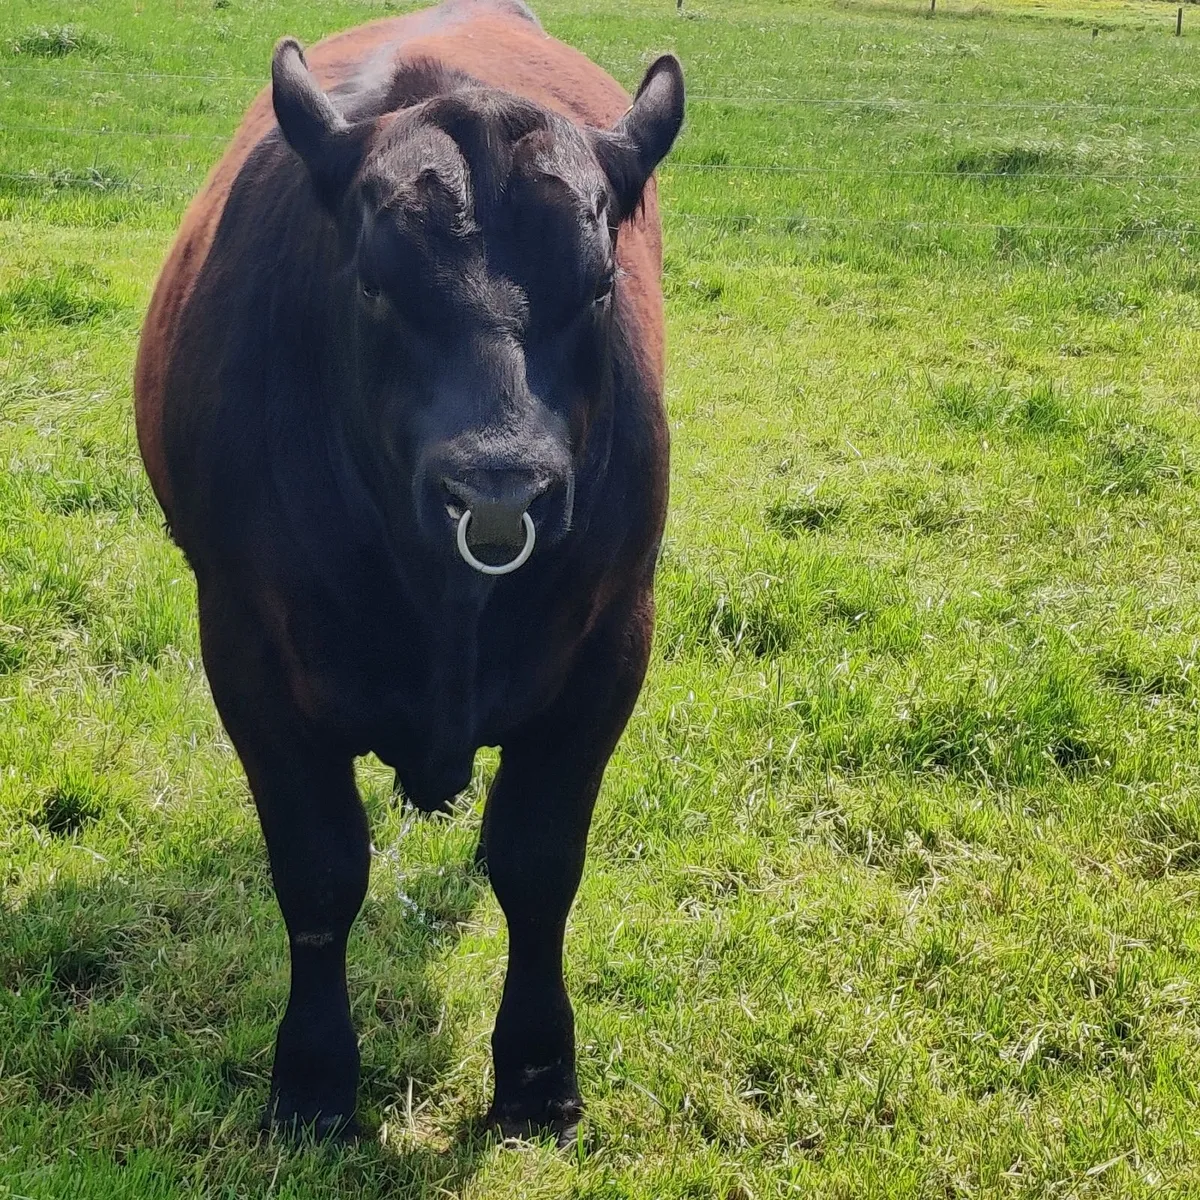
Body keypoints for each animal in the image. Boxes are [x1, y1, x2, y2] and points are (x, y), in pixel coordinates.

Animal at [133, 0, 683, 1145]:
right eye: (375, 282)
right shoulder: (245, 645)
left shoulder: (613, 637)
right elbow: (318, 869)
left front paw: (537, 1075)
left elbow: (537, 860)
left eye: (601, 281)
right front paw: (312, 1081)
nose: (500, 491)